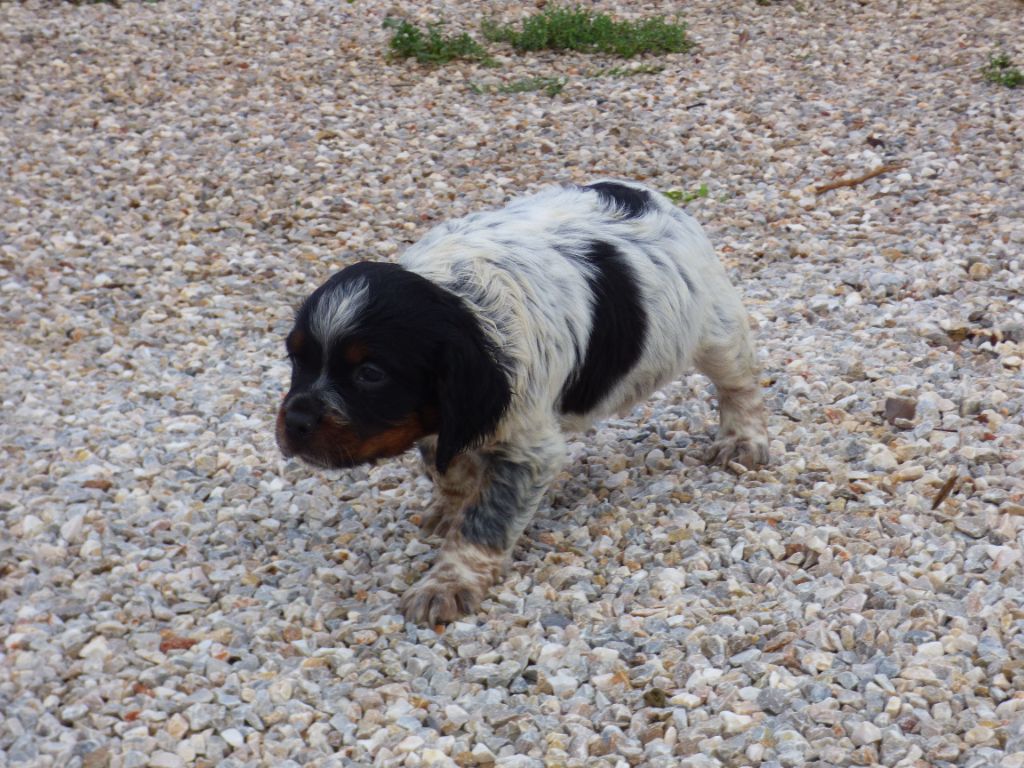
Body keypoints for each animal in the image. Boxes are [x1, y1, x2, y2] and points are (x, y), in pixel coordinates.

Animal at [274, 180, 770, 626]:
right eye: (296, 358)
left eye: (370, 374)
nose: (294, 423)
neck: (466, 305)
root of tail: (649, 196)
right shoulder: (448, 420)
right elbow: (446, 467)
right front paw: (451, 507)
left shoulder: (526, 450)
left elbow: (485, 521)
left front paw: (448, 583)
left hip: (715, 328)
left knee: (739, 383)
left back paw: (742, 440)